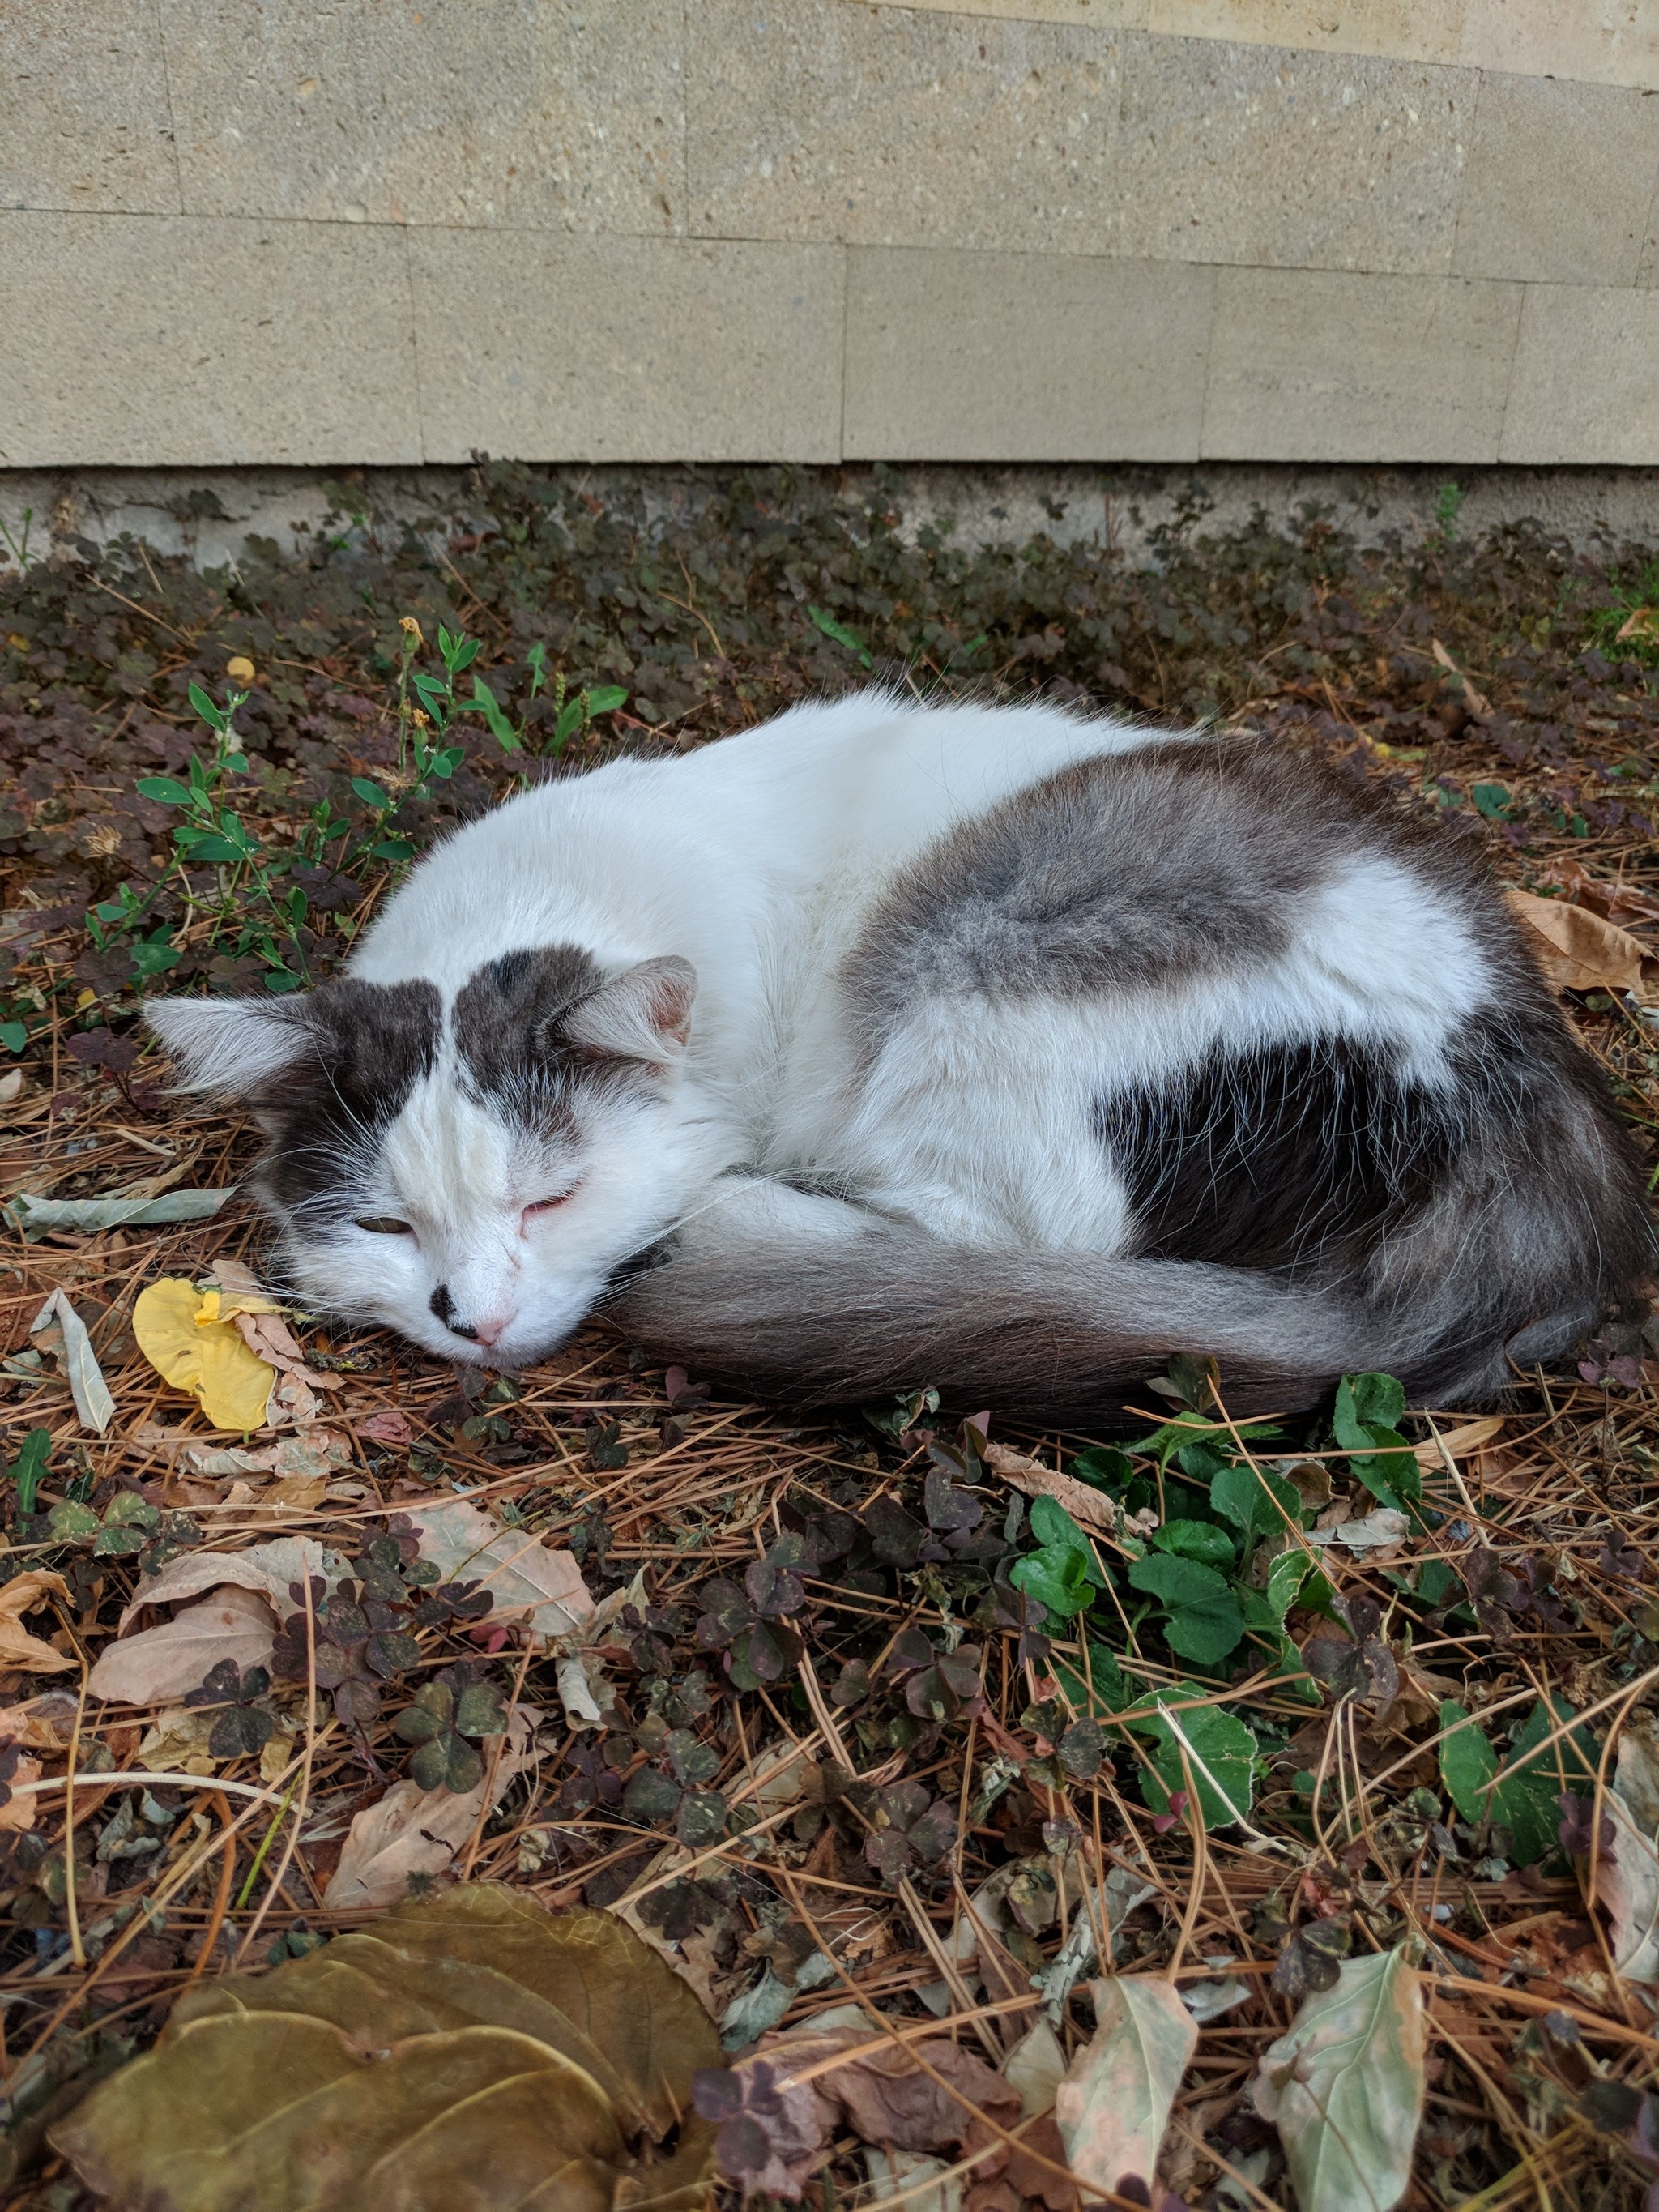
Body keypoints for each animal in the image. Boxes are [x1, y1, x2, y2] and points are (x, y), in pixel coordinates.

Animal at [149, 685, 1654, 1416]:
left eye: (550, 1199)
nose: (473, 1320)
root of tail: (1527, 1062)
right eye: (386, 1227)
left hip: (982, 963)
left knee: (999, 1245)